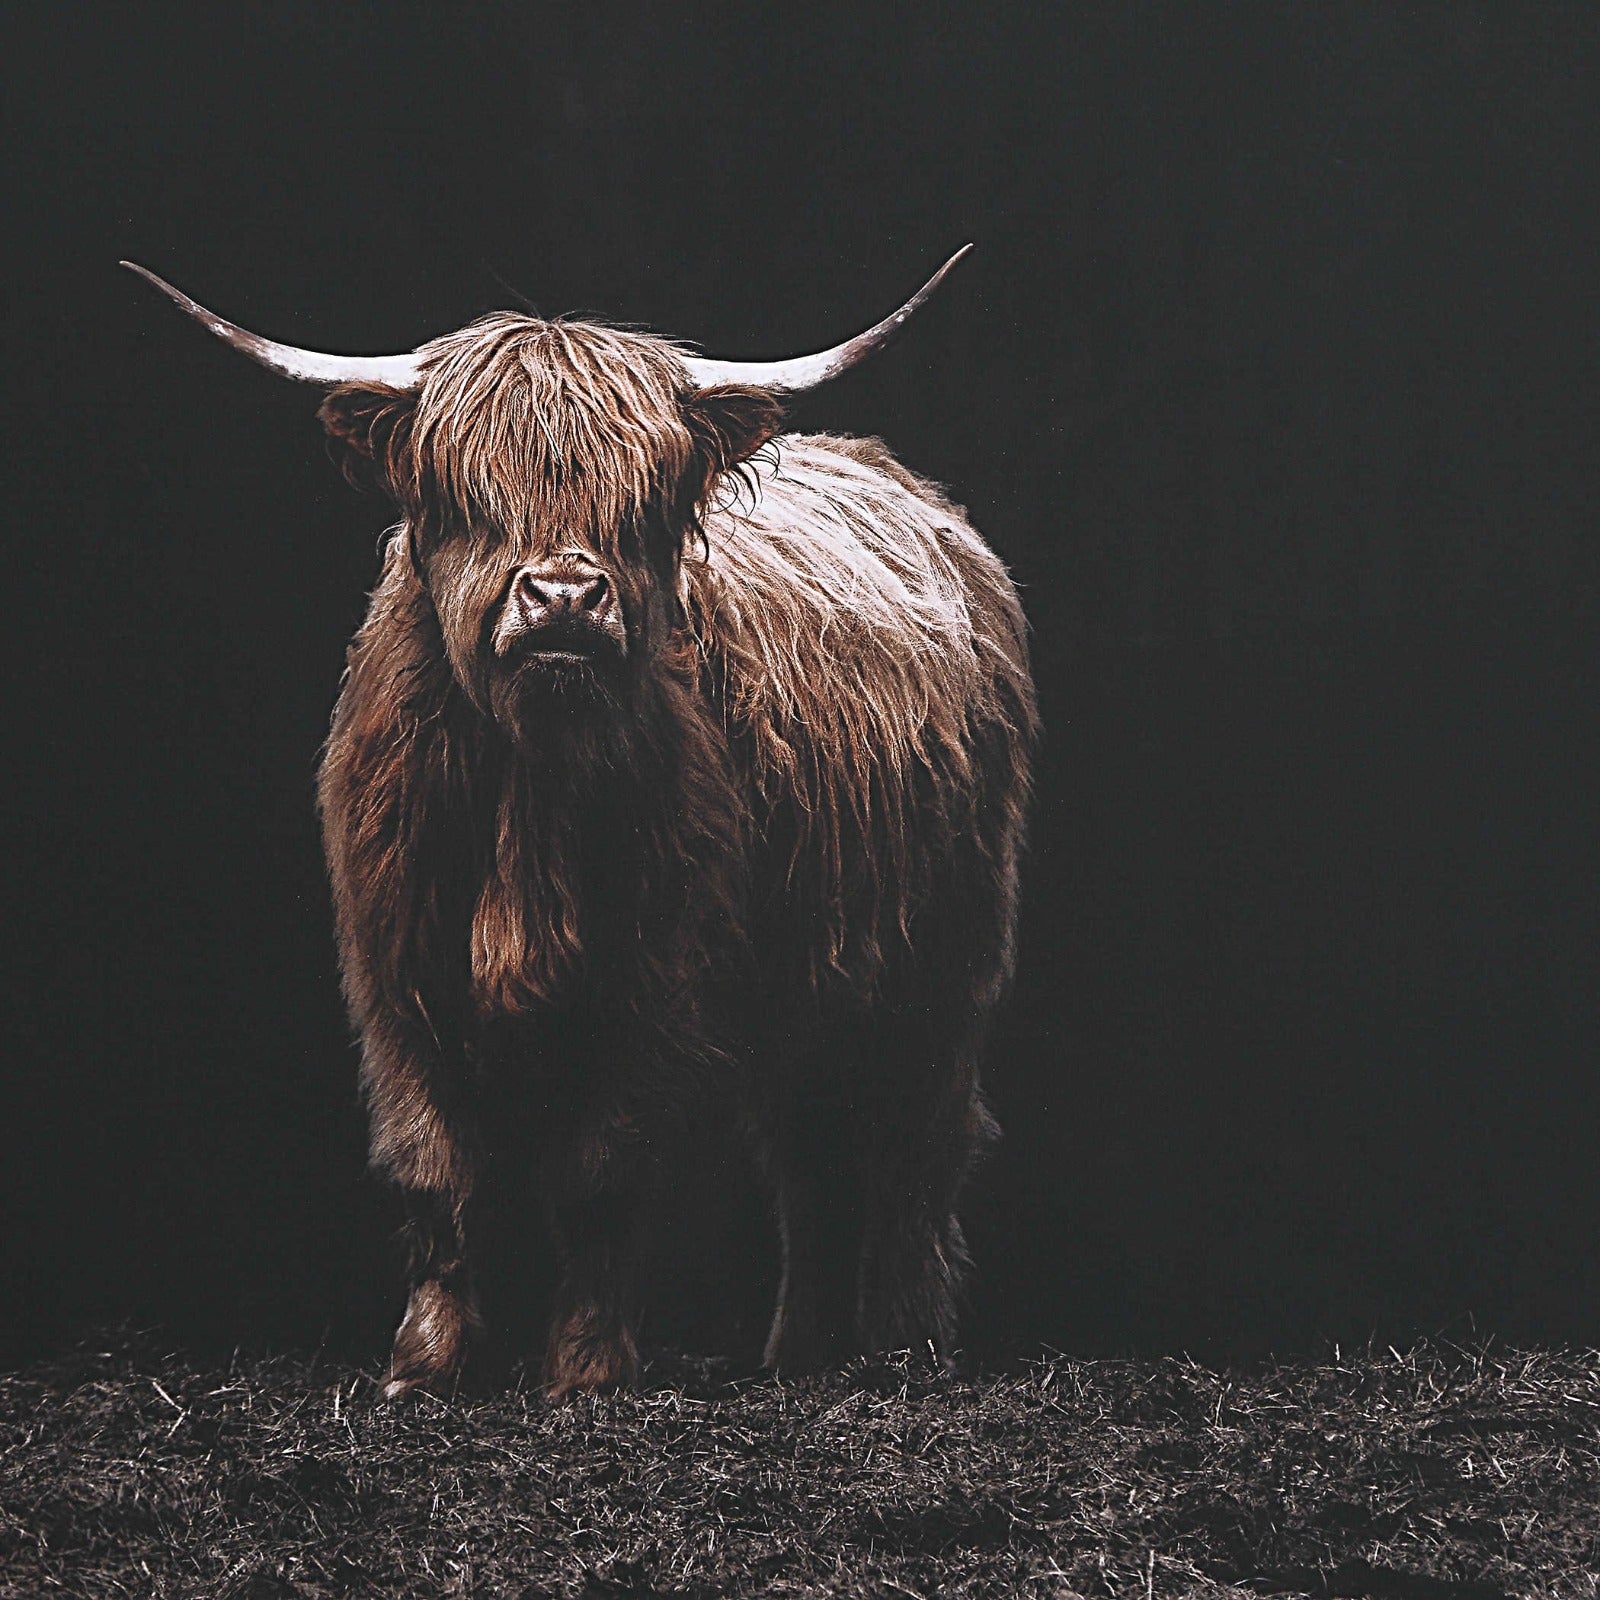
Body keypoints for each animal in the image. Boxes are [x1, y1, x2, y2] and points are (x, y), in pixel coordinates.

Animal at [126, 251, 1037, 1400]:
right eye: (467, 493)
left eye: (645, 499)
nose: (563, 597)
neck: (535, 789)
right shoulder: (397, 973)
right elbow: (435, 1169)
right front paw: (424, 1365)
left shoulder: (654, 985)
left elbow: (604, 1178)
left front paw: (587, 1372)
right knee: (810, 1152)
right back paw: (795, 1355)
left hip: (946, 955)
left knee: (918, 1143)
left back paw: (907, 1345)